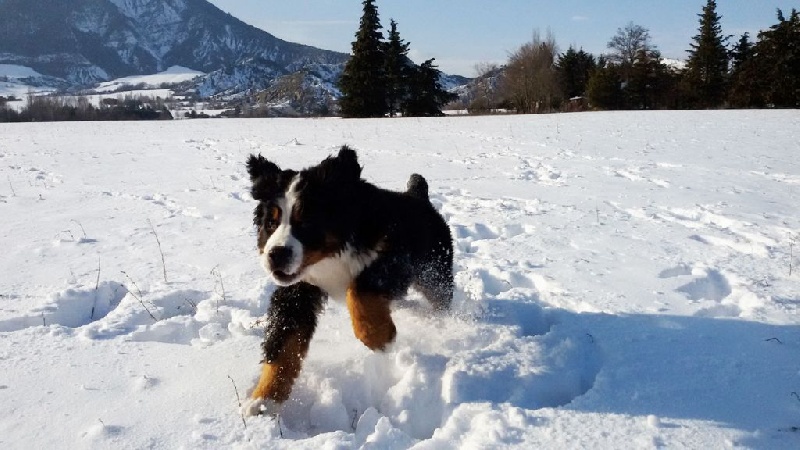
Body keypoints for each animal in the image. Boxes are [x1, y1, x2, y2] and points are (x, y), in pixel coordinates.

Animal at [241, 146, 454, 416]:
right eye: (271, 223)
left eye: (306, 222)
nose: (276, 254)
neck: (330, 255)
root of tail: (418, 195)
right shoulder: (298, 290)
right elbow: (283, 343)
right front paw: (263, 401)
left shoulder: (394, 254)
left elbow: (359, 289)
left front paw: (377, 336)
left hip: (434, 271)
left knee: (441, 297)